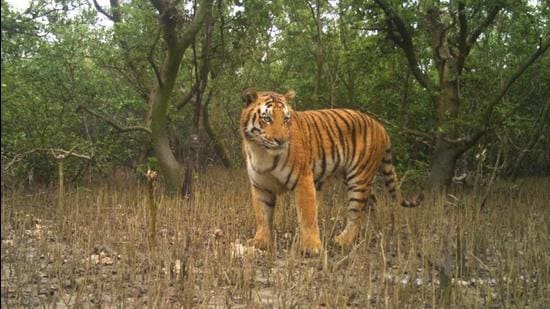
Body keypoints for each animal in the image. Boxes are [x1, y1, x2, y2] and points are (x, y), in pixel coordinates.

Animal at [239, 88, 424, 254]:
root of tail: (381, 126)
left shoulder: (303, 180)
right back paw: (369, 234)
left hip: (359, 178)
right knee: (371, 203)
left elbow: (308, 216)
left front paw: (311, 247)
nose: (282, 141)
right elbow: (262, 216)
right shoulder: (260, 186)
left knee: (357, 212)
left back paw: (343, 240)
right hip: (355, 177)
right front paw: (260, 242)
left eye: (285, 119)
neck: (262, 152)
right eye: (267, 118)